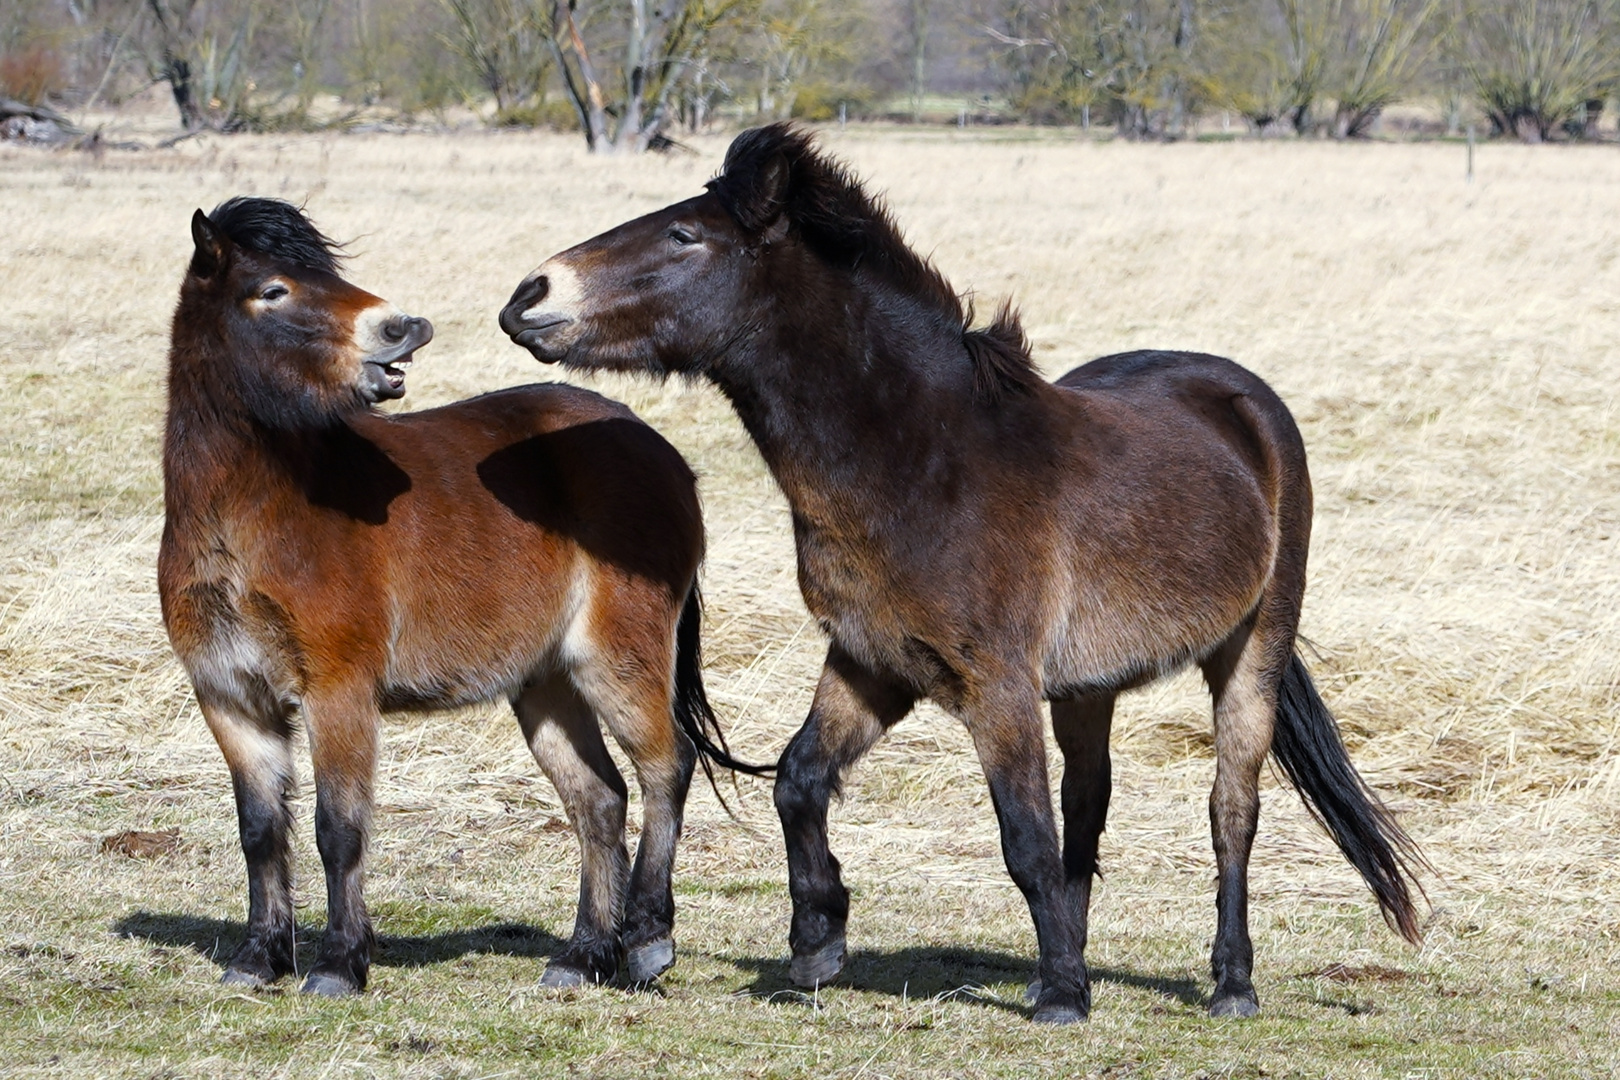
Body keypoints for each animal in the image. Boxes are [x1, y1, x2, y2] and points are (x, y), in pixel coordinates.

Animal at [157, 200, 751, 997]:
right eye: (273, 290)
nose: (404, 328)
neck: (252, 515)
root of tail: (658, 450)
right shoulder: (230, 697)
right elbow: (259, 831)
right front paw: (258, 959)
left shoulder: (338, 691)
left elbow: (338, 828)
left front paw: (339, 965)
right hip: (546, 684)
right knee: (598, 801)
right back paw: (582, 956)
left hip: (616, 661)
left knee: (667, 768)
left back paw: (648, 941)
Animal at [498, 124, 1425, 1023]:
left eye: (684, 235)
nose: (528, 297)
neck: (928, 460)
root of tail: (1246, 405)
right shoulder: (872, 663)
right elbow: (800, 780)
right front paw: (819, 940)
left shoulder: (996, 686)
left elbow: (1023, 838)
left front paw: (1063, 998)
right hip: (1086, 690)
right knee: (1087, 810)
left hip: (1251, 651)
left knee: (1230, 812)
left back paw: (1228, 984)